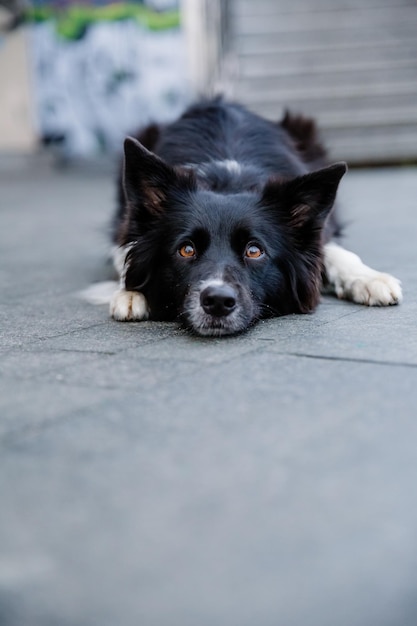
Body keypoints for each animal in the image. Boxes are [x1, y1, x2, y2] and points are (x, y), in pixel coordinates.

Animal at [97, 98, 400, 334]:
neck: (228, 182)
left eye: (254, 251)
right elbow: (124, 253)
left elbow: (335, 251)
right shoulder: (125, 225)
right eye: (186, 249)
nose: (218, 301)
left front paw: (369, 278)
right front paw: (130, 292)